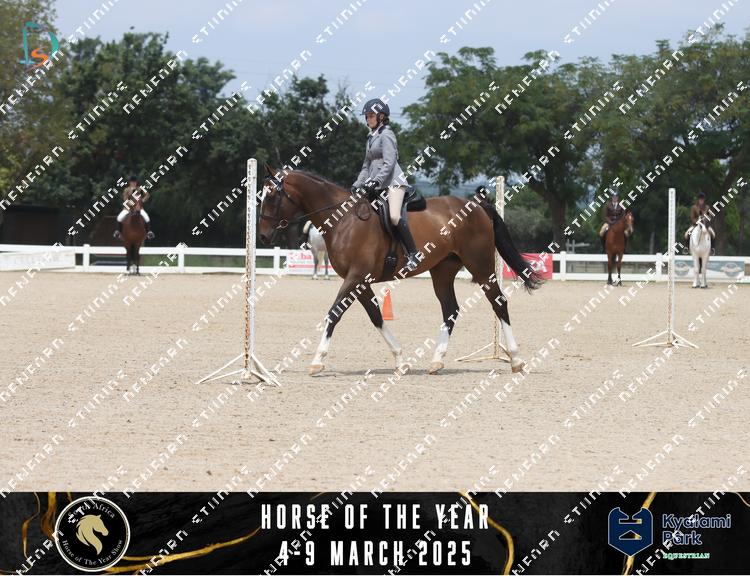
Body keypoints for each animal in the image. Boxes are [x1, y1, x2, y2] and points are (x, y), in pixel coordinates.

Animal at [258, 164, 542, 376]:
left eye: (271, 197)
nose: (262, 236)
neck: (343, 220)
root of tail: (476, 205)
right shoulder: (360, 282)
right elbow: (376, 316)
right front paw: (400, 359)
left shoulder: (355, 277)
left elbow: (334, 314)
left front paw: (317, 361)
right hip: (443, 271)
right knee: (450, 310)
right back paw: (436, 361)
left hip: (481, 267)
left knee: (499, 302)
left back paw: (515, 359)